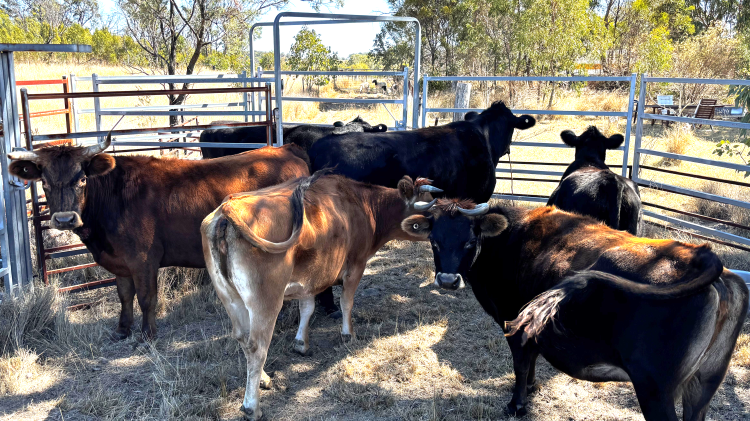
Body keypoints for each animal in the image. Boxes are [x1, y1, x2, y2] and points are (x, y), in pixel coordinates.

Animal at [8, 137, 310, 340]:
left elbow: (146, 297)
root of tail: (285, 149)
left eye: (82, 179)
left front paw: (148, 333)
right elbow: (124, 295)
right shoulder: (121, 262)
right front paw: (122, 329)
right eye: (44, 182)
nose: (64, 219)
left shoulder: (143, 260)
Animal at [200, 173, 441, 420]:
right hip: (266, 301)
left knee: (243, 337)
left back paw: (265, 379)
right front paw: (348, 334)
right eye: (432, 207)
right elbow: (346, 302)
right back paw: (252, 406)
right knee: (257, 346)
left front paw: (301, 343)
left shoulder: (309, 276)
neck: (363, 204)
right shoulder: (356, 265)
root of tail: (227, 208)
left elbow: (307, 308)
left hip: (231, 298)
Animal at [400, 200, 748, 420]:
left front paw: (517, 405)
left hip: (655, 390)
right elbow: (531, 363)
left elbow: (521, 365)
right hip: (704, 384)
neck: (510, 239)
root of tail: (698, 254)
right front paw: (532, 389)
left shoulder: (514, 323)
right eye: (433, 240)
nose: (447, 280)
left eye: (470, 242)